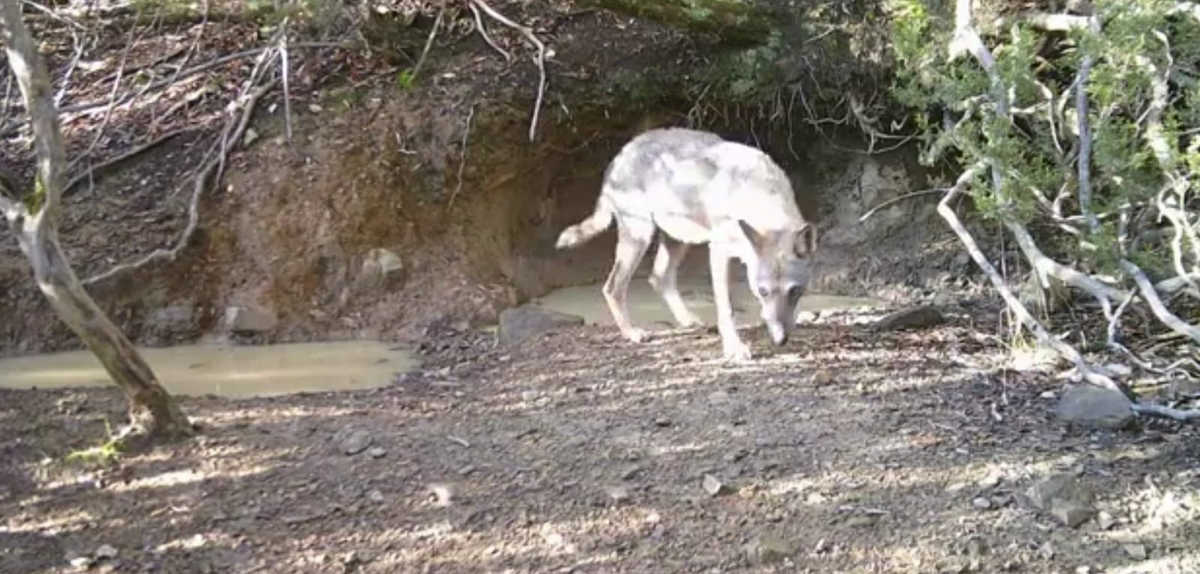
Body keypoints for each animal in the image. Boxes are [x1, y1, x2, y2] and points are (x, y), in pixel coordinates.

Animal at [555, 127, 818, 360]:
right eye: (762, 291)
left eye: (795, 291)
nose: (780, 340)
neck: (758, 195)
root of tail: (622, 154)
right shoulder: (718, 252)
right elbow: (726, 308)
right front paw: (734, 349)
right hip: (641, 238)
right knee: (613, 287)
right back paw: (632, 333)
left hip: (677, 241)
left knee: (658, 277)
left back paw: (686, 320)